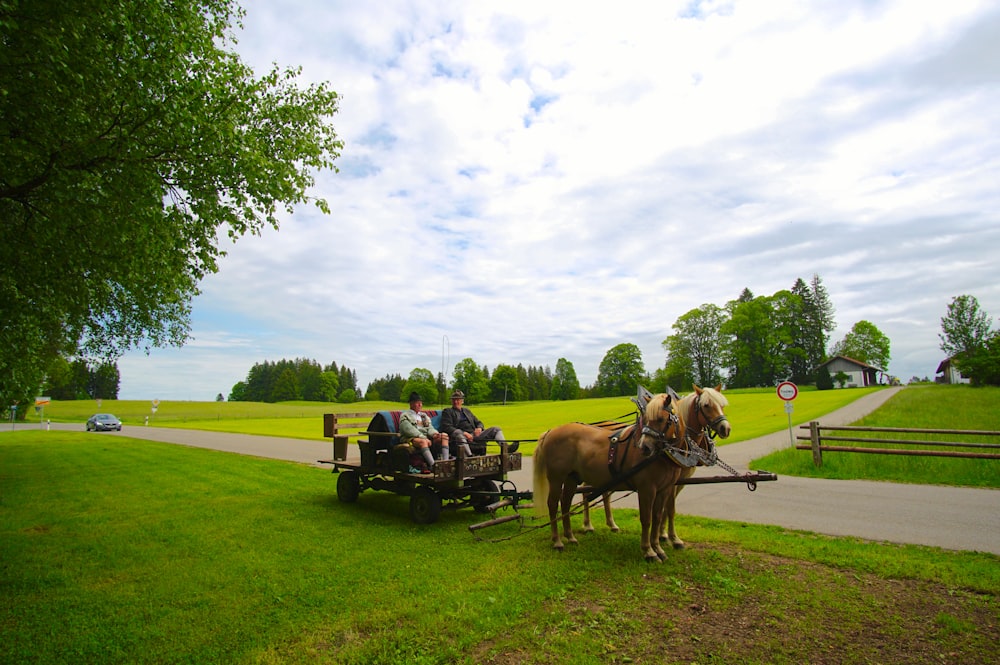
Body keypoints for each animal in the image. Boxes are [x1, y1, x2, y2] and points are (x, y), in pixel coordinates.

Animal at [532, 392, 688, 564]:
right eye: (646, 418)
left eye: (660, 419)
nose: (645, 447)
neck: (661, 456)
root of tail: (550, 431)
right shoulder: (646, 489)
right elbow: (646, 519)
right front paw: (648, 551)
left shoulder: (664, 489)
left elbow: (658, 517)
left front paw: (658, 549)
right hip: (556, 478)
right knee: (553, 505)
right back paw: (557, 541)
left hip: (571, 479)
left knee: (565, 504)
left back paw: (570, 537)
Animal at [580, 384, 736, 548]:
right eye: (706, 405)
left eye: (722, 405)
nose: (725, 428)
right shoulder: (670, 483)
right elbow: (670, 509)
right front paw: (671, 537)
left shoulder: (677, 482)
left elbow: (665, 509)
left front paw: (663, 534)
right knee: (586, 491)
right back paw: (588, 525)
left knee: (604, 494)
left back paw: (612, 524)